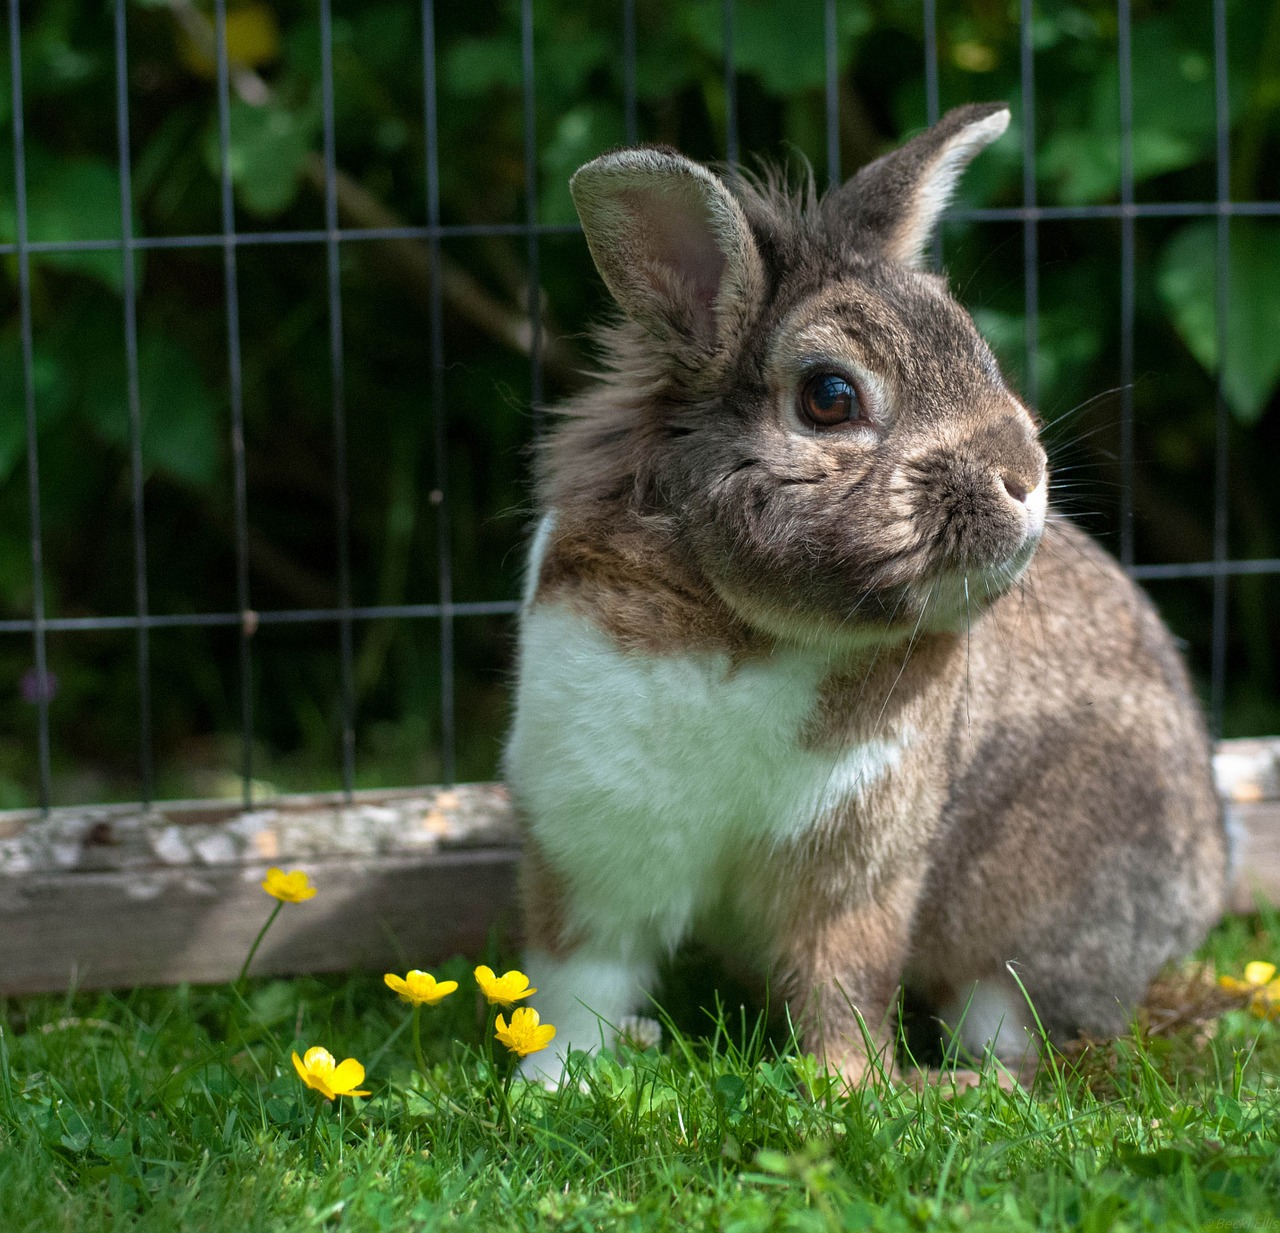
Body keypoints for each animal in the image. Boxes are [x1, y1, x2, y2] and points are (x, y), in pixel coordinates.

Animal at [501, 106, 1228, 1090]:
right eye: (830, 397)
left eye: (980, 353)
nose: (1024, 478)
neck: (754, 629)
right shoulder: (591, 841)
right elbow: (580, 976)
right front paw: (550, 1082)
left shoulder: (860, 867)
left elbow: (842, 980)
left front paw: (851, 1085)